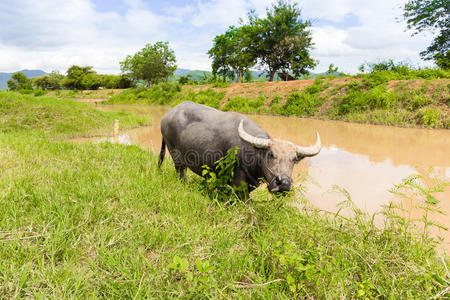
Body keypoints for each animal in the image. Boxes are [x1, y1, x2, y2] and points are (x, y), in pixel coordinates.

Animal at [158, 101, 320, 195]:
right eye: (270, 154)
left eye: (294, 159)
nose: (284, 183)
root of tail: (166, 116)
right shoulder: (239, 183)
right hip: (174, 153)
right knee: (180, 171)